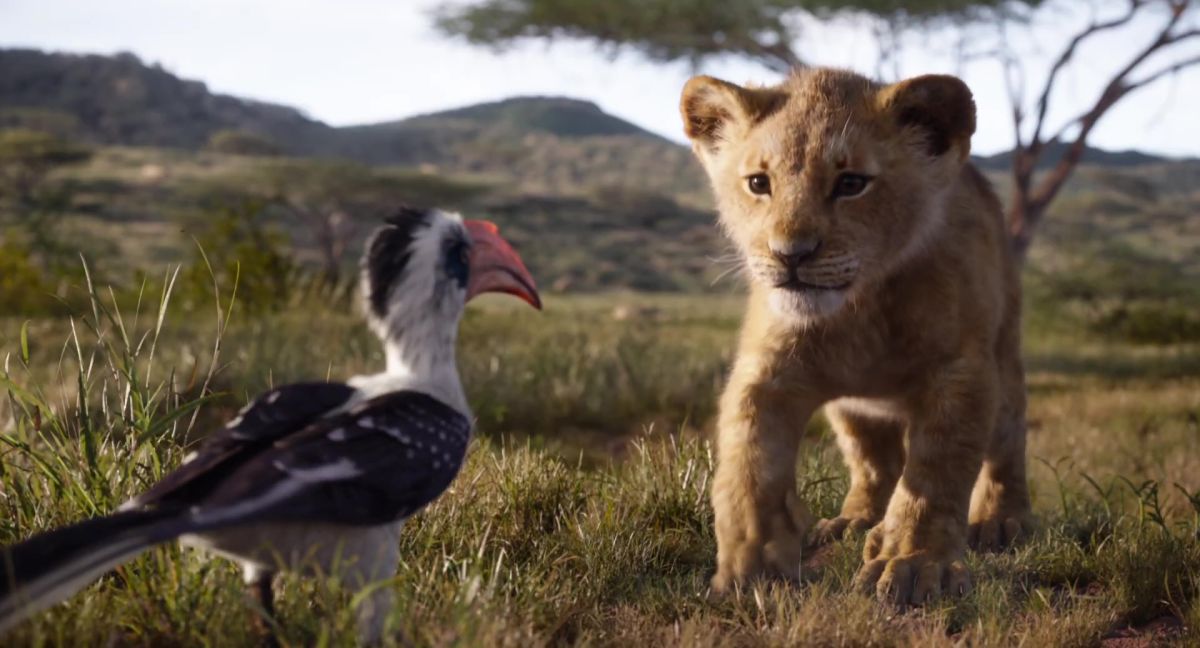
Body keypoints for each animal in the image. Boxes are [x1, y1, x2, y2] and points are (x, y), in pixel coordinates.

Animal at [679, 68, 1031, 604]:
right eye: (759, 183)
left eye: (850, 184)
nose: (791, 254)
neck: (858, 312)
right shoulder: (767, 371)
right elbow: (748, 467)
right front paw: (750, 567)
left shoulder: (959, 372)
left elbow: (935, 476)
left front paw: (913, 564)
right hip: (851, 410)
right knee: (873, 463)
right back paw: (855, 521)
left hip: (1005, 357)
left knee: (1007, 444)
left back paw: (1001, 521)